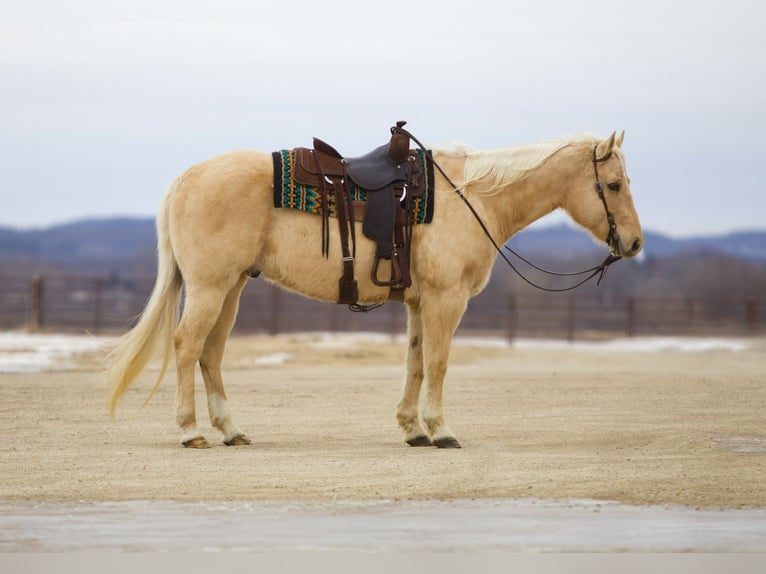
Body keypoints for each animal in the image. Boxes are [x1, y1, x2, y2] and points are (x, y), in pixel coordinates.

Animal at [106, 130, 643, 449]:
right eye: (615, 184)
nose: (634, 243)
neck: (471, 197)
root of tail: (186, 178)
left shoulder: (419, 303)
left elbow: (415, 362)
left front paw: (412, 429)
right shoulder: (446, 300)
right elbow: (438, 363)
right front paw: (441, 430)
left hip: (231, 288)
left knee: (210, 352)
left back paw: (232, 430)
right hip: (210, 287)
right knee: (186, 345)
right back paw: (190, 431)